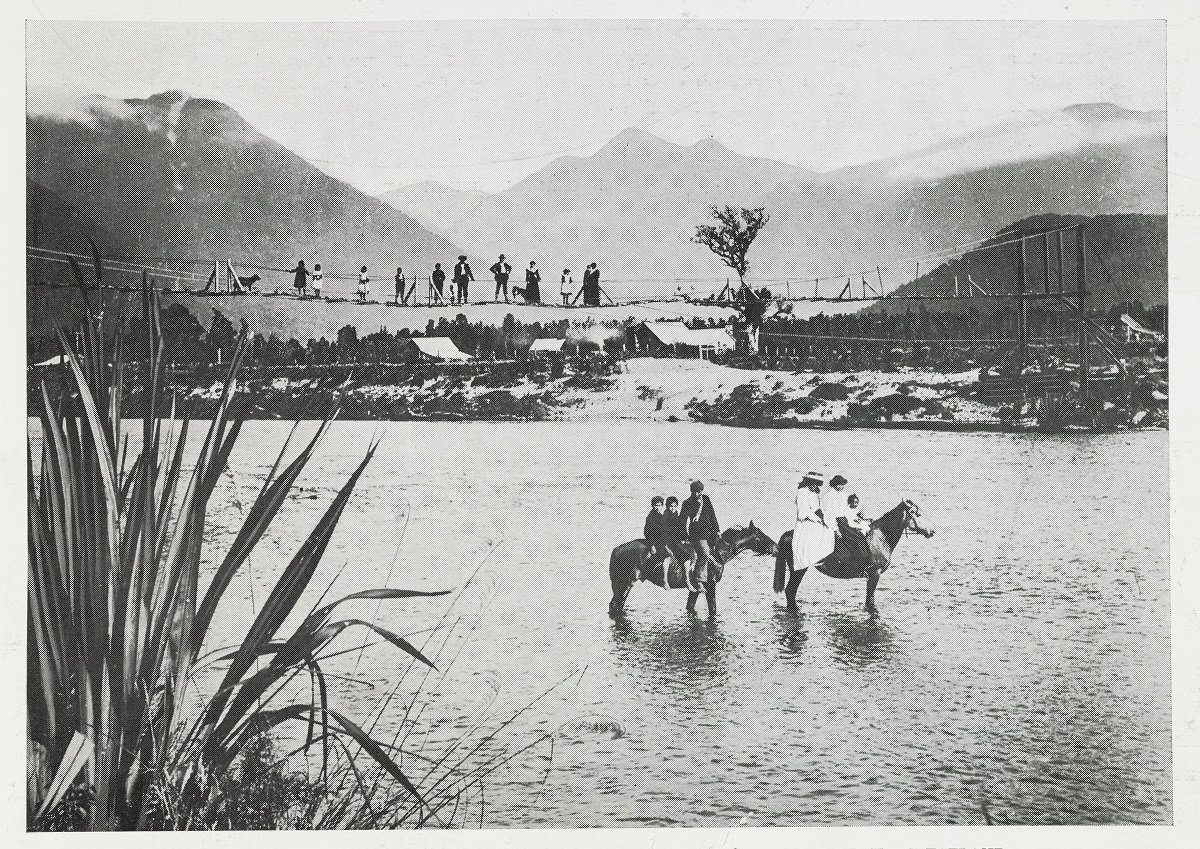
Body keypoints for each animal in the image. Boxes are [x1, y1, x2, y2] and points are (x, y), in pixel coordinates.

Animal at [609, 522, 777, 618]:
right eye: (761, 536)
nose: (777, 548)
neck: (717, 552)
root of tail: (616, 550)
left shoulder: (695, 589)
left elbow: (690, 606)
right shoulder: (710, 586)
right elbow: (713, 609)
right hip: (625, 585)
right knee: (616, 606)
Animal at [772, 496, 931, 609]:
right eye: (917, 513)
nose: (932, 530)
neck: (882, 536)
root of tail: (789, 534)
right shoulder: (874, 574)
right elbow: (870, 601)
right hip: (798, 570)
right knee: (790, 591)